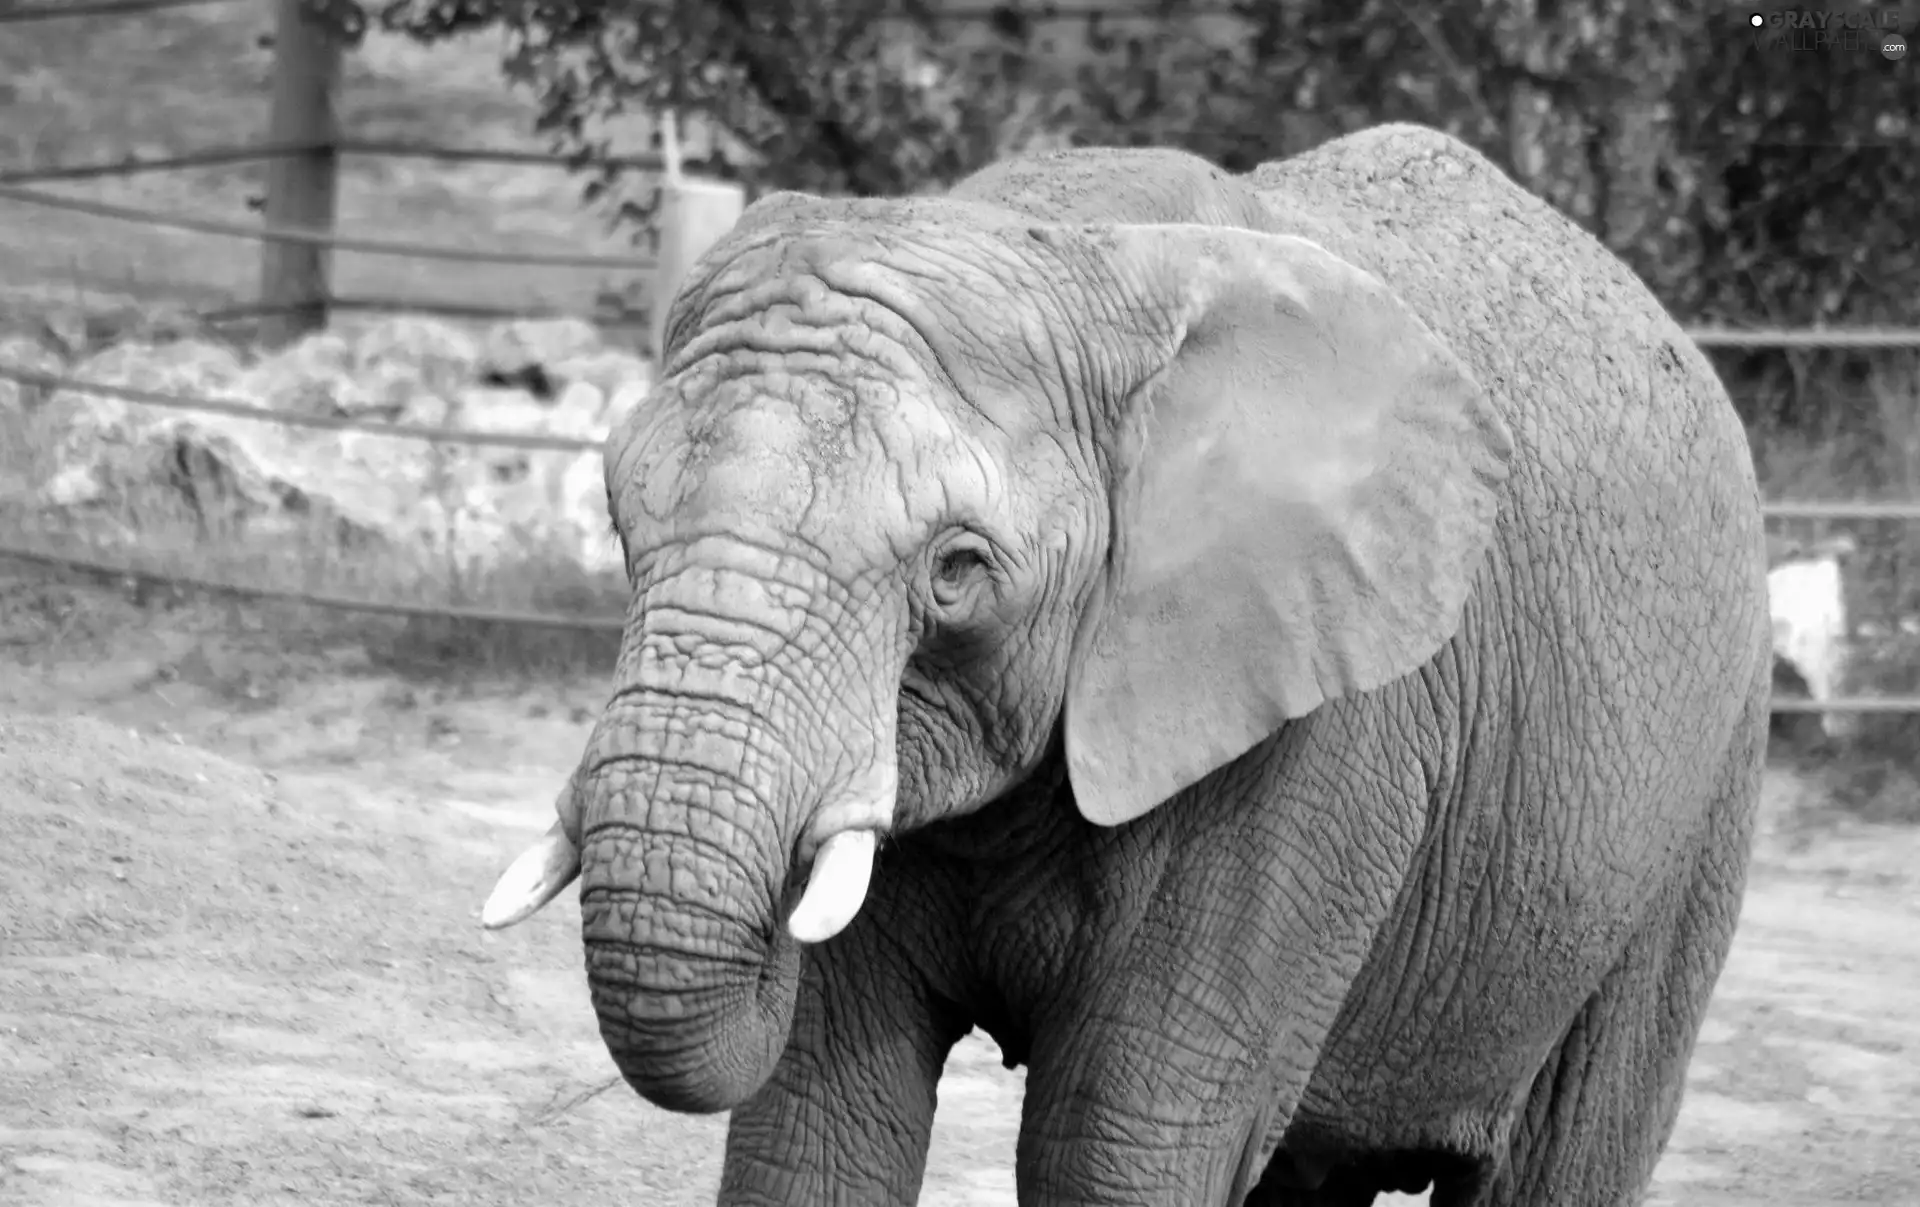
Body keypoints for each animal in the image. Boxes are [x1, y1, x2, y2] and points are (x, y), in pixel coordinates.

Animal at [480, 124, 1766, 1205]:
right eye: (617, 519)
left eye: (956, 570)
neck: (1066, 248)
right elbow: (818, 1124)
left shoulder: (1317, 739)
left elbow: (1117, 1144)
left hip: (1697, 806)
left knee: (1565, 1153)